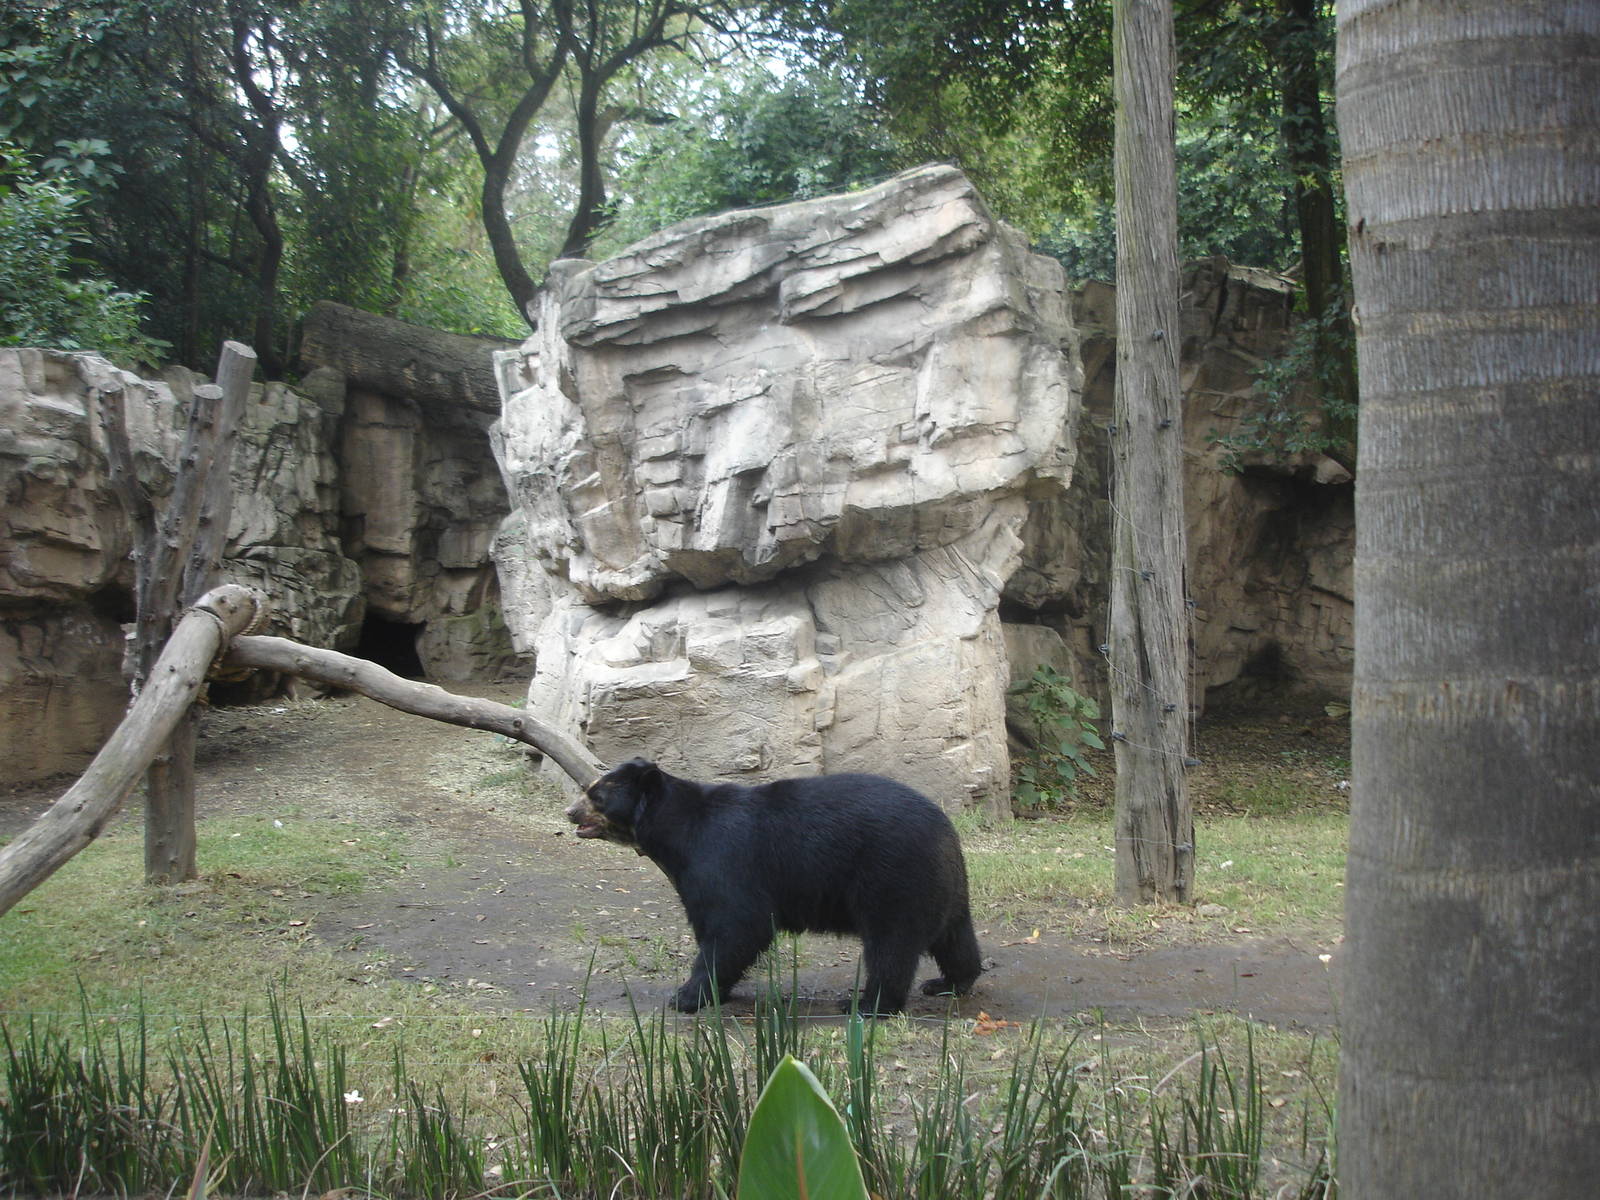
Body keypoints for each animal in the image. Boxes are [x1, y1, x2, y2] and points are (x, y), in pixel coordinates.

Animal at [565, 757, 983, 1016]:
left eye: (596, 794)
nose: (570, 812)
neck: (677, 834)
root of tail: (945, 828)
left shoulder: (723, 860)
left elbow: (736, 926)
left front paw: (685, 996)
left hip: (890, 874)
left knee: (891, 943)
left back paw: (869, 1005)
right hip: (940, 885)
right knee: (954, 935)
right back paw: (949, 982)